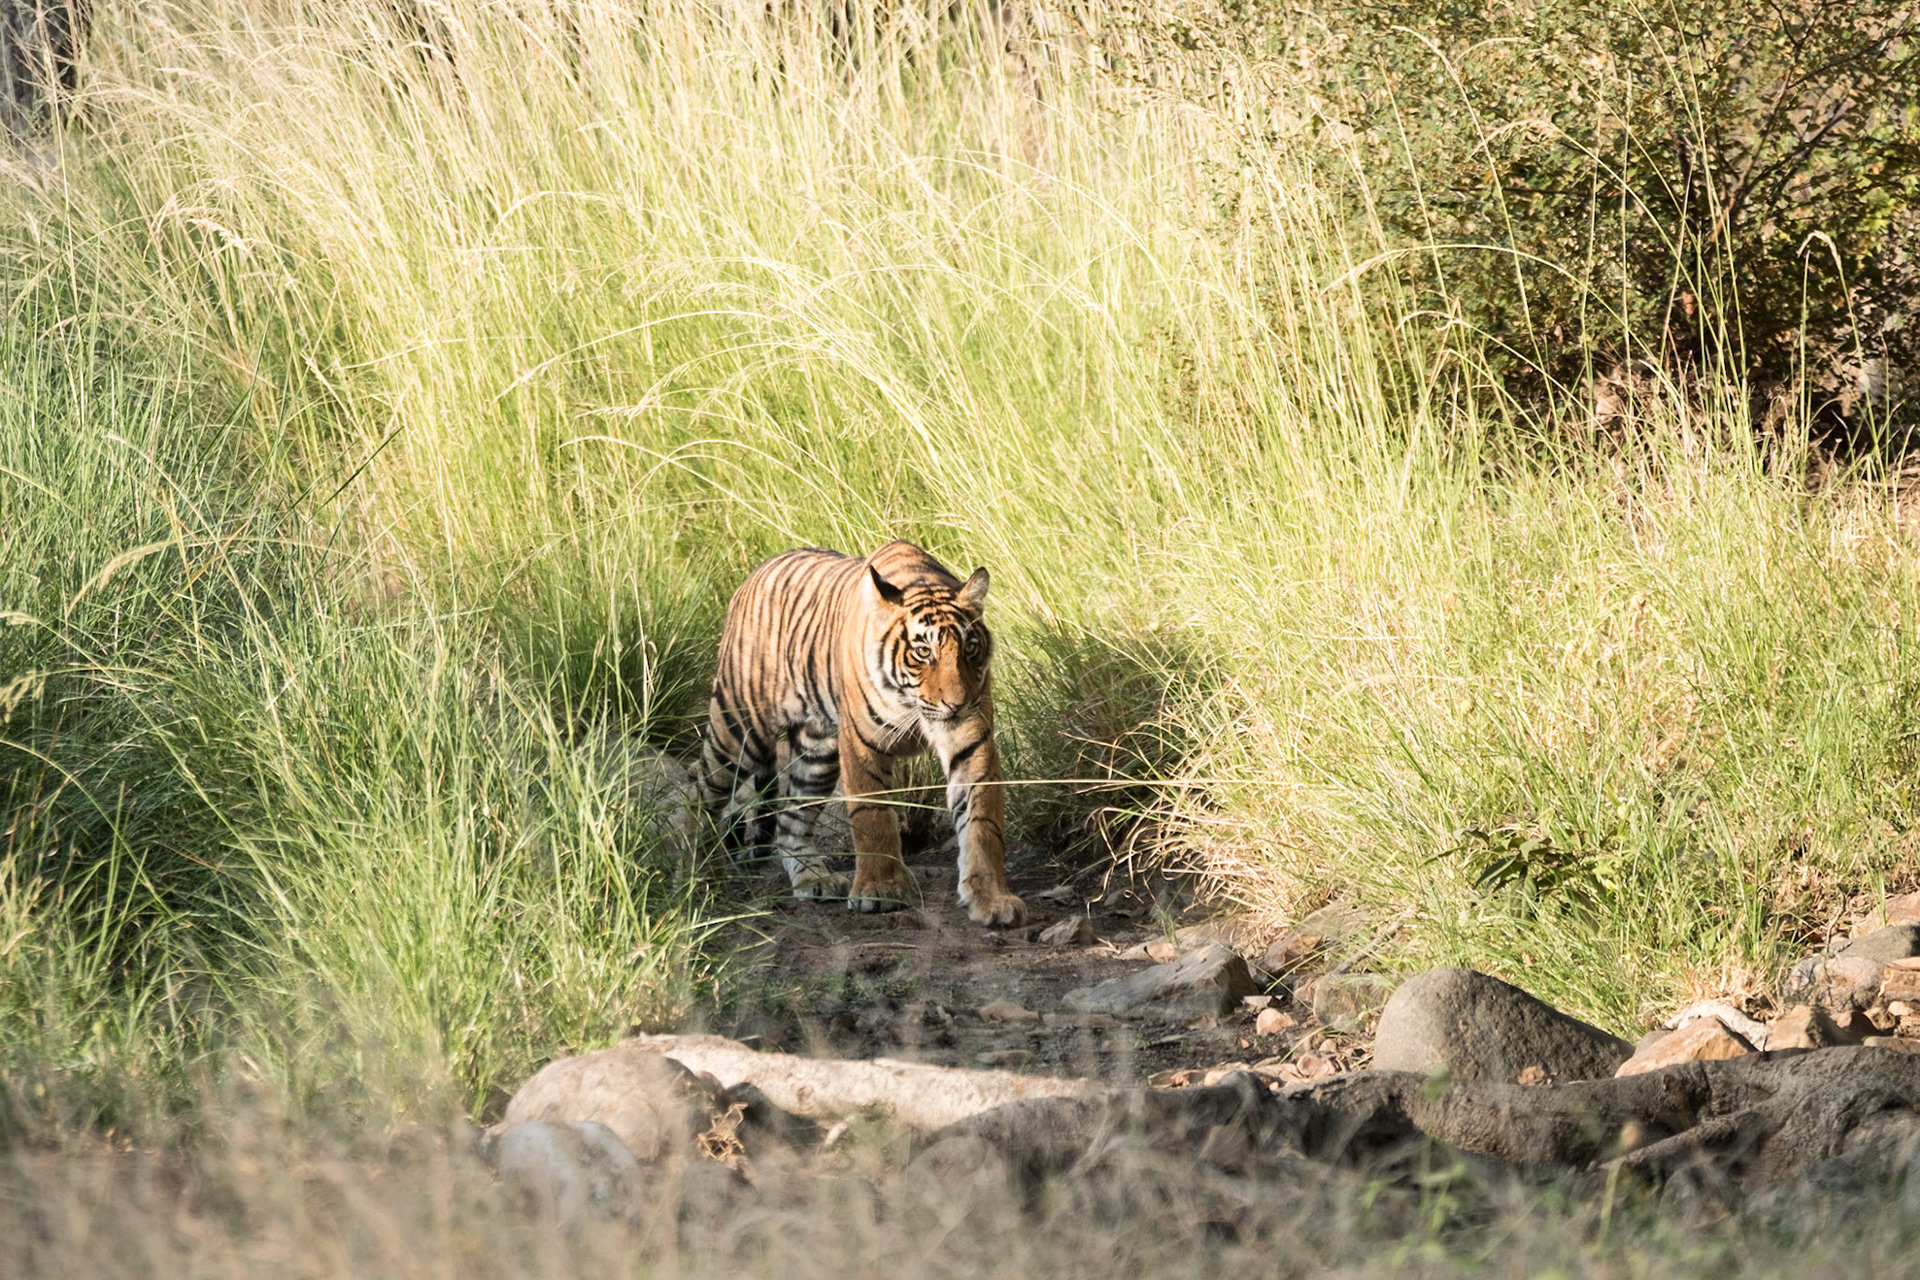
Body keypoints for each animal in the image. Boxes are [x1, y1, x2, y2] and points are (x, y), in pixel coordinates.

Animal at [691, 540, 1028, 927]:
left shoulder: (971, 742)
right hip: (740, 729)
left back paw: (814, 879)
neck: (911, 702)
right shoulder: (863, 744)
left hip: (817, 755)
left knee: (790, 820)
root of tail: (755, 572)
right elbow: (872, 816)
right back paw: (694, 873)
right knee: (698, 785)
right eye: (922, 651)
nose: (957, 704)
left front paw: (991, 899)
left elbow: (982, 821)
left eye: (969, 648)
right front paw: (879, 891)